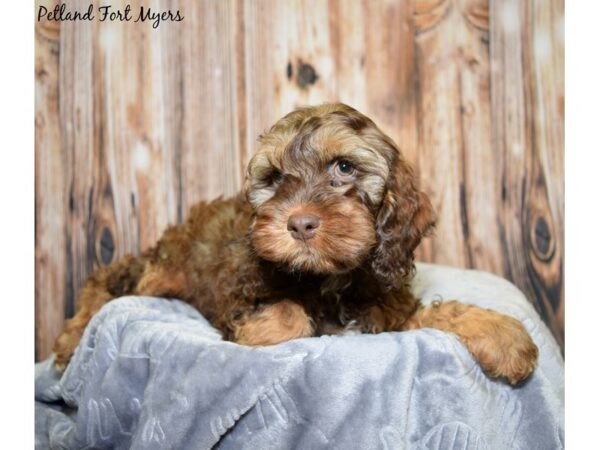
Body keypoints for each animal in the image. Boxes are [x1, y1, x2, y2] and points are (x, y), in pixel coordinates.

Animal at [52, 103, 540, 384]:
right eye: (273, 177)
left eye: (344, 167)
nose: (300, 224)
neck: (329, 279)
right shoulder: (236, 292)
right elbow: (289, 317)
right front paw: (265, 330)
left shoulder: (386, 310)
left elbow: (441, 312)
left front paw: (503, 335)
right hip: (160, 269)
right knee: (108, 277)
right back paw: (71, 338)